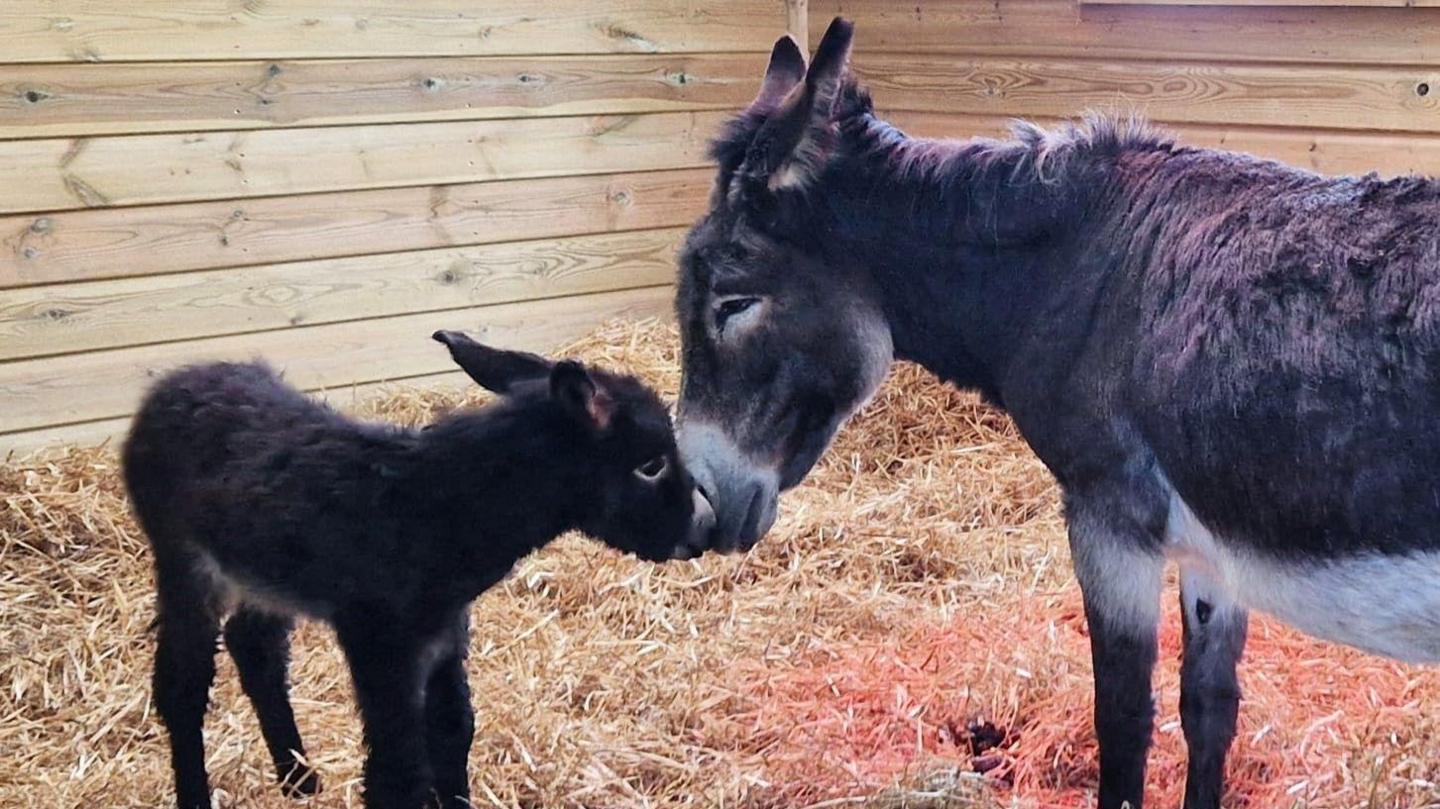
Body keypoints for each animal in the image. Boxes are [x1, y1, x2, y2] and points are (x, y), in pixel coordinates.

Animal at [125, 329, 714, 806]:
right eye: (650, 465)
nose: (705, 527)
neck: (429, 509)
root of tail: (175, 382)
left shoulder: (446, 633)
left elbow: (454, 732)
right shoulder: (381, 644)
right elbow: (398, 772)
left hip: (263, 575)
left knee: (256, 651)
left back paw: (300, 781)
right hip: (184, 563)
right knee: (181, 686)